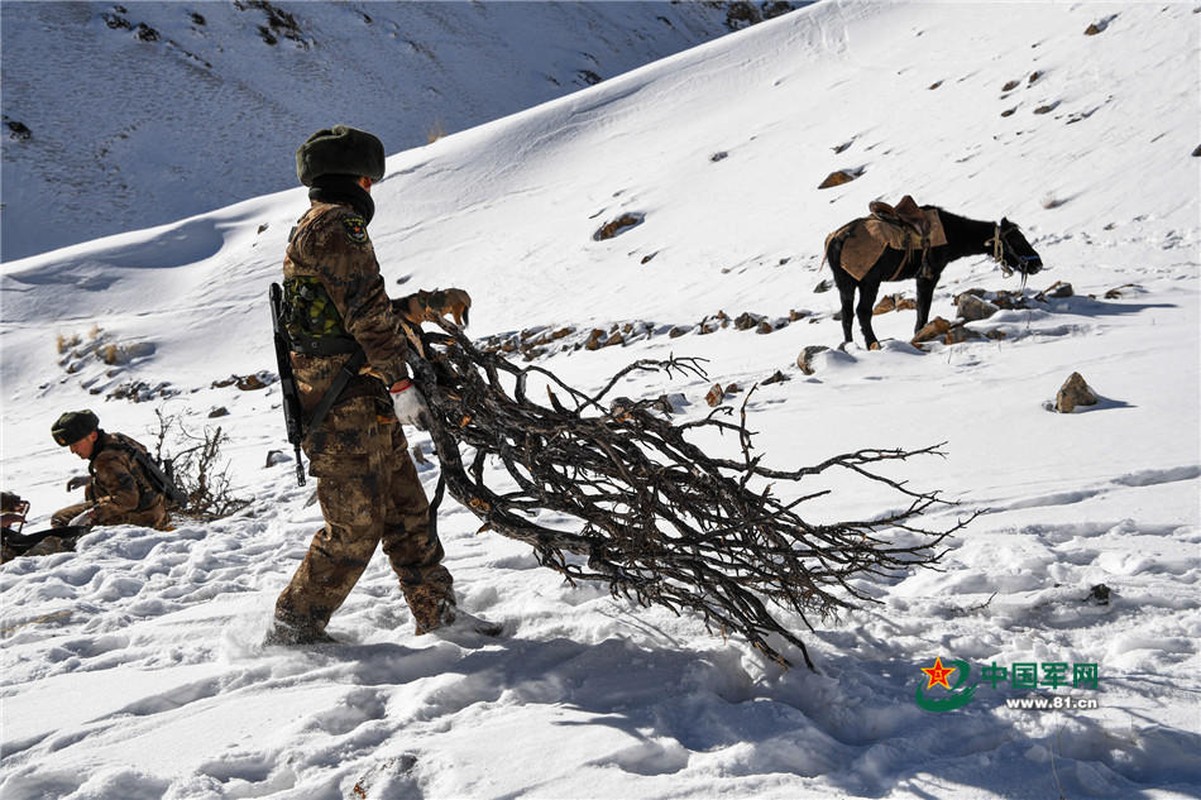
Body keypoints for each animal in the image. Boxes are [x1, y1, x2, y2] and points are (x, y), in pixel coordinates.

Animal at [826, 205, 1042, 345]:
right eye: (1017, 239)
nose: (1037, 263)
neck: (952, 233)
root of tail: (836, 242)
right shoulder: (929, 275)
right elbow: (923, 308)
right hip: (869, 282)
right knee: (862, 312)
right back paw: (873, 343)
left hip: (845, 283)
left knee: (847, 314)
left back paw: (849, 345)